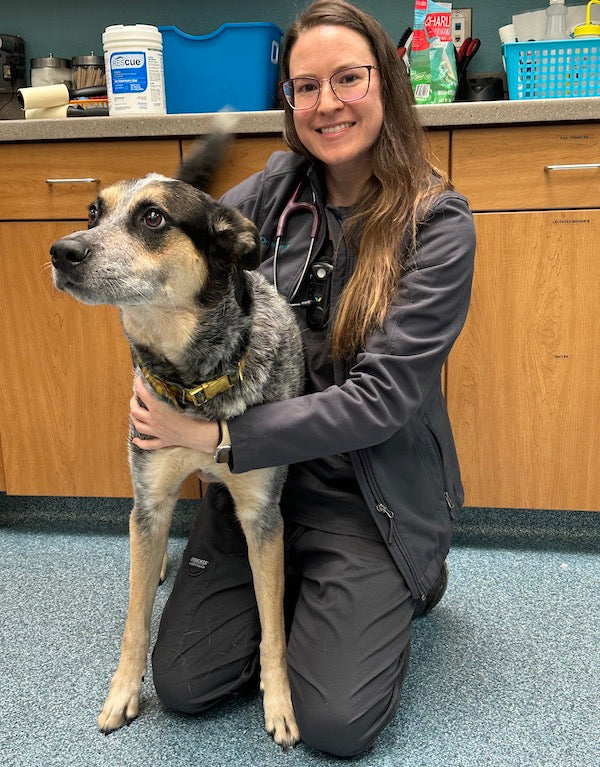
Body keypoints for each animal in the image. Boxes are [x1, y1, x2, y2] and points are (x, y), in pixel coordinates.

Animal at [50, 130, 304, 752]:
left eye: (153, 217)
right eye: (92, 213)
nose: (62, 251)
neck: (193, 383)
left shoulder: (262, 516)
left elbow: (272, 627)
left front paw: (280, 704)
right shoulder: (152, 496)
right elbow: (135, 621)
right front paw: (122, 692)